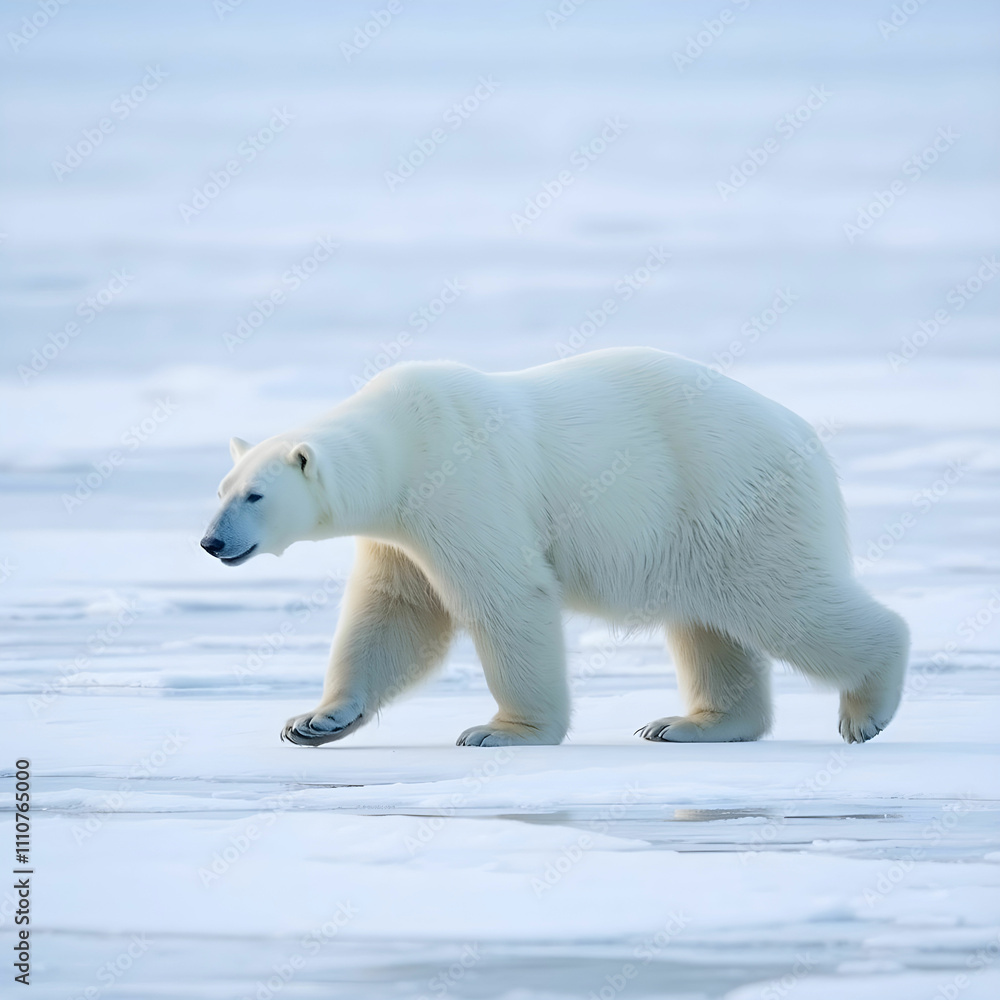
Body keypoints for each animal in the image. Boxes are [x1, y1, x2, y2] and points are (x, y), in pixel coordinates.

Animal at [200, 347, 909, 748]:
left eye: (254, 496)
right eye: (221, 488)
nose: (211, 542)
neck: (404, 440)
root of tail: (803, 433)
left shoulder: (462, 485)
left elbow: (505, 597)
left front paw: (501, 731)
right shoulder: (400, 532)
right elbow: (396, 612)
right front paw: (315, 721)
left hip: (731, 497)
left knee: (783, 602)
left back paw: (865, 709)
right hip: (699, 528)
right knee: (709, 625)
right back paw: (689, 724)